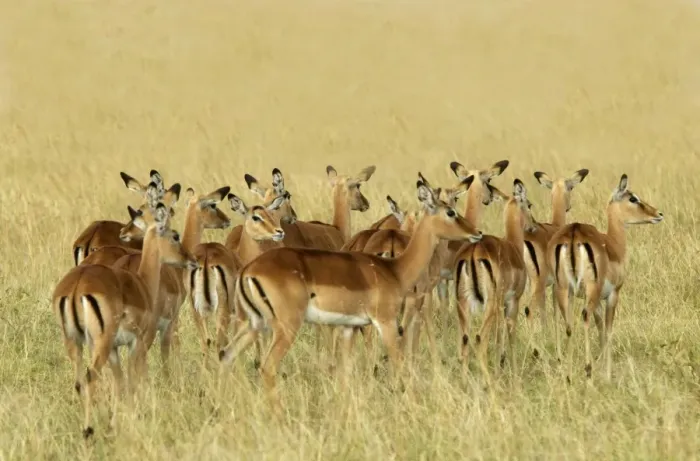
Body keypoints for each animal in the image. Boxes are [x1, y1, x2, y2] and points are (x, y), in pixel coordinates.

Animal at [51, 202, 196, 438]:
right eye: (175, 236)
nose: (191, 260)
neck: (142, 282)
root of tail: (77, 285)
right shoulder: (136, 341)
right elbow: (131, 379)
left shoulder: (115, 349)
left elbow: (120, 382)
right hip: (101, 343)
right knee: (91, 376)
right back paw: (89, 429)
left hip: (73, 341)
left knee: (80, 382)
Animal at [219, 179, 483, 411]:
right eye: (450, 212)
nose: (477, 232)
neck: (394, 270)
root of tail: (249, 269)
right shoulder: (386, 322)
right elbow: (399, 363)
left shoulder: (349, 327)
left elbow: (345, 373)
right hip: (285, 326)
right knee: (267, 367)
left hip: (254, 323)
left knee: (226, 356)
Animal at [452, 179, 534, 383]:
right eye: (529, 204)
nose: (533, 226)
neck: (512, 246)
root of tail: (473, 251)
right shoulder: (511, 302)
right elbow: (507, 337)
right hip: (489, 305)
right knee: (480, 338)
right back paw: (488, 382)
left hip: (463, 304)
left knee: (464, 341)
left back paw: (464, 383)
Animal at [546, 174, 663, 381]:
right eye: (633, 198)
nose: (658, 213)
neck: (613, 245)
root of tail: (573, 233)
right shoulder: (612, 295)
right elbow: (608, 331)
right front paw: (607, 374)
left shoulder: (595, 299)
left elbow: (600, 330)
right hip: (590, 290)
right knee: (584, 316)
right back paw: (587, 370)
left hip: (563, 290)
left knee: (569, 325)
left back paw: (569, 375)